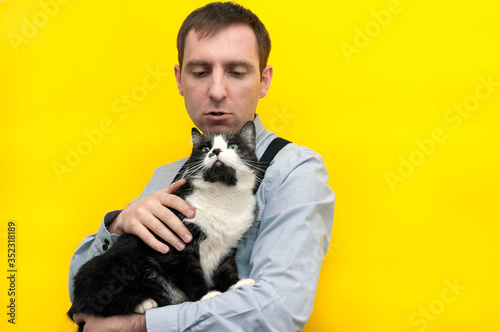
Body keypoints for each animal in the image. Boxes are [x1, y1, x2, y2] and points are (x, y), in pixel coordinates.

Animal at [67, 121, 258, 324]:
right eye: (205, 148)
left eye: (233, 146)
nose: (215, 151)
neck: (222, 195)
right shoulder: (177, 246)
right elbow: (190, 274)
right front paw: (206, 296)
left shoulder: (228, 246)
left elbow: (227, 268)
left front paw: (236, 284)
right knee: (94, 304)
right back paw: (144, 302)